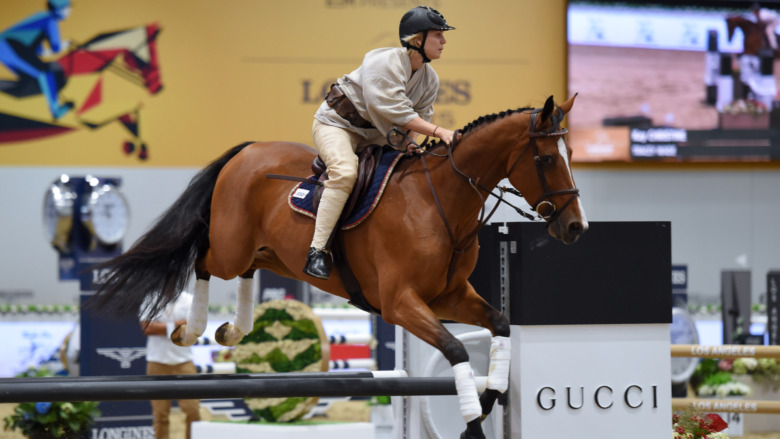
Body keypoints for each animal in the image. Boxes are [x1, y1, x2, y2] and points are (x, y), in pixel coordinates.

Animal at [0, 22, 161, 160]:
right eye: (151, 51)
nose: (158, 87)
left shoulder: (97, 109)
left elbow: (133, 112)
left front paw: (138, 147)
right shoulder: (88, 115)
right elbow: (135, 106)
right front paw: (137, 146)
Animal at [90, 94, 584, 438]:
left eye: (572, 156)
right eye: (545, 159)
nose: (576, 227)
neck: (440, 202)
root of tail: (247, 151)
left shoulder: (449, 298)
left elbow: (499, 325)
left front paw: (490, 397)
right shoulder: (400, 304)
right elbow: (458, 351)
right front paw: (472, 419)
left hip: (266, 251)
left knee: (249, 268)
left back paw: (235, 330)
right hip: (231, 247)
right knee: (205, 259)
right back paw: (192, 330)